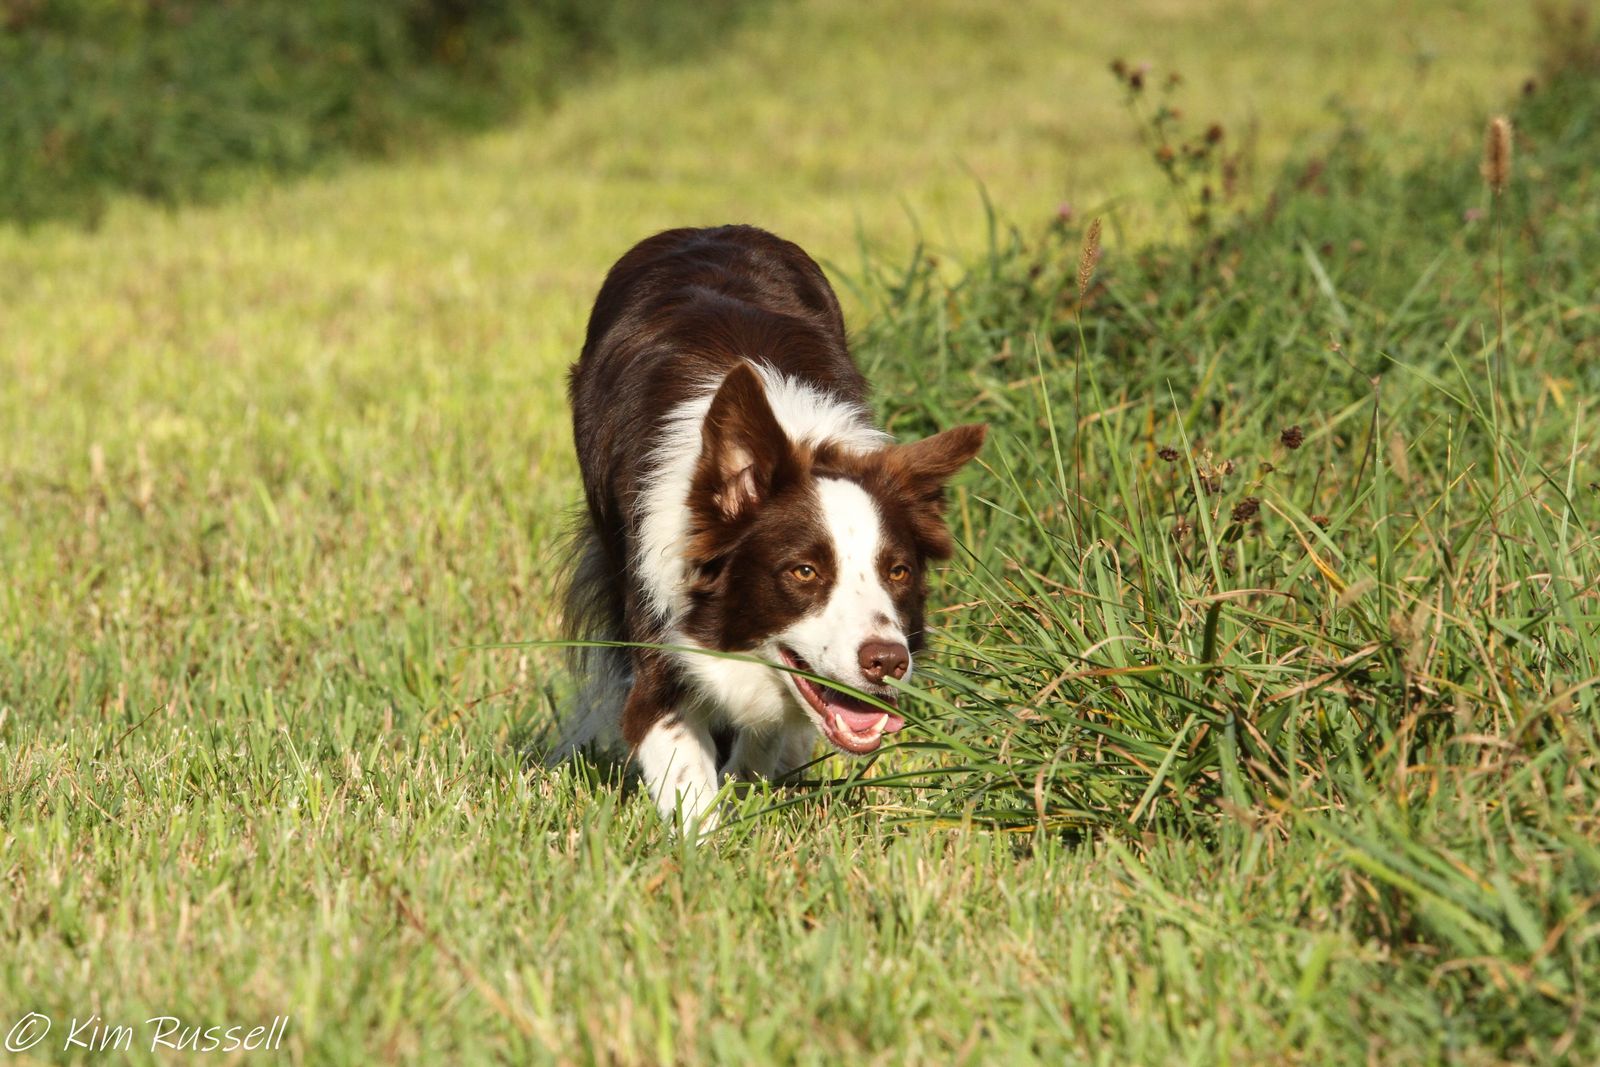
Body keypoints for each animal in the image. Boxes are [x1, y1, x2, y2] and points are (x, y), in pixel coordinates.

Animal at [554, 225, 984, 830]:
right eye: (803, 571)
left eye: (898, 572)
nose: (888, 662)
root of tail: (706, 227)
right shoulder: (655, 613)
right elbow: (679, 761)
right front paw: (707, 840)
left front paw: (748, 785)